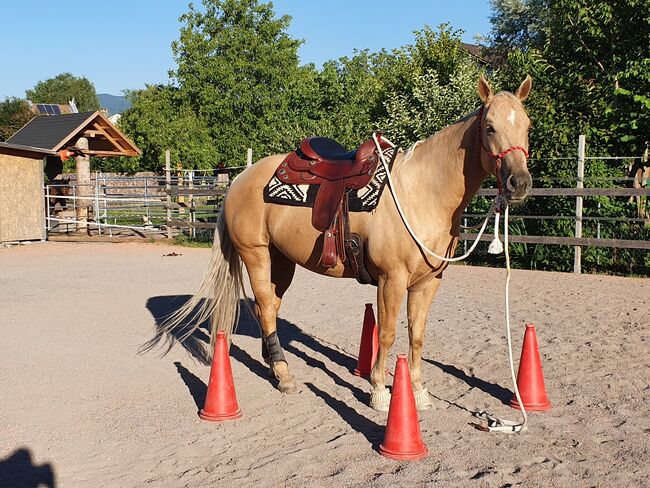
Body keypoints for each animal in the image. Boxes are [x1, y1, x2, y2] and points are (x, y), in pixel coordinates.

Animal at [168, 76, 532, 412]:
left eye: (527, 125)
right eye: (490, 127)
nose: (520, 183)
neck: (420, 193)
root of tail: (240, 179)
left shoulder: (428, 283)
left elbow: (417, 335)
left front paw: (419, 392)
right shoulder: (391, 279)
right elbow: (387, 333)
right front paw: (379, 391)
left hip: (280, 261)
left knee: (266, 307)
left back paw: (273, 365)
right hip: (256, 256)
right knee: (266, 308)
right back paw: (284, 376)